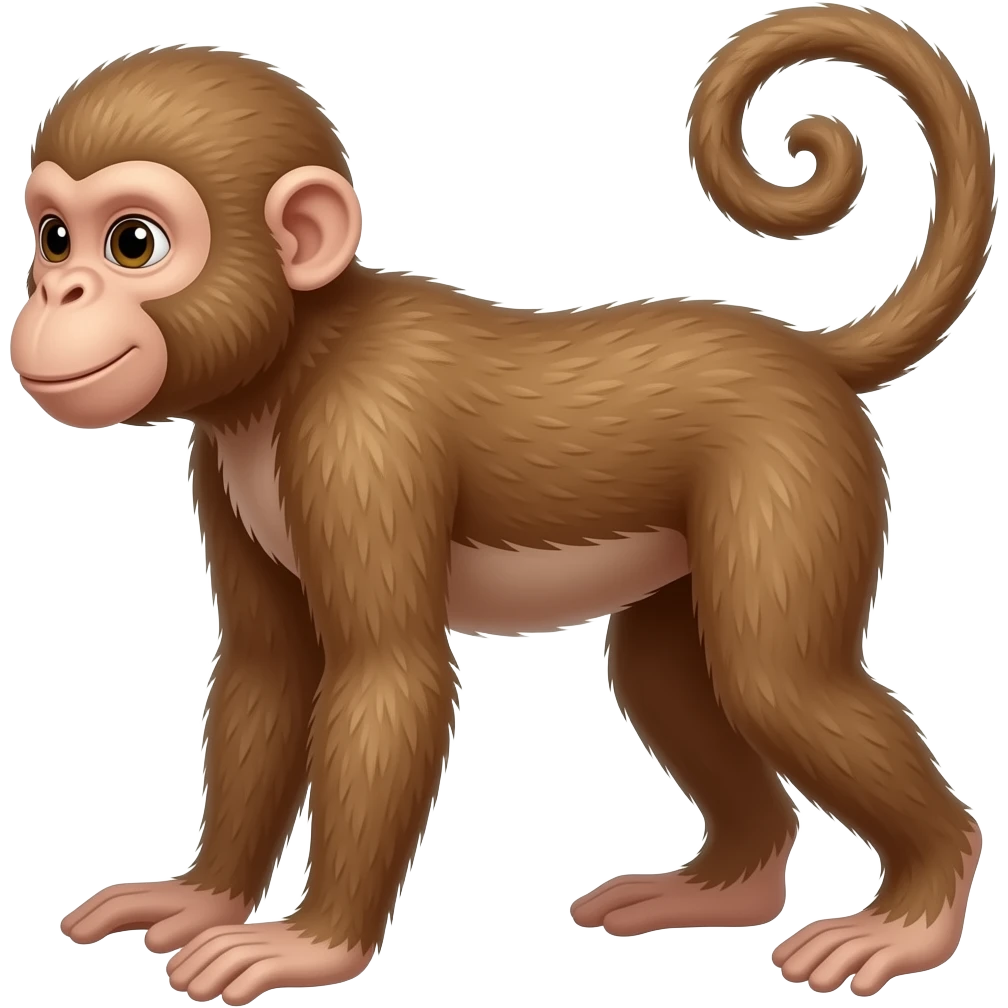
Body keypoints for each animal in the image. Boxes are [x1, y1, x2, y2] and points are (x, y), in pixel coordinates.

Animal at [17, 4, 993, 1004]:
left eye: (133, 243)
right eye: (54, 237)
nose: (57, 291)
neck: (295, 355)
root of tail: (805, 353)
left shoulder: (364, 438)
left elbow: (388, 673)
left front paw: (314, 945)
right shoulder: (220, 460)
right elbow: (268, 666)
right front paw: (201, 897)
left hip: (793, 466)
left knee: (775, 679)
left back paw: (916, 909)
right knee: (666, 674)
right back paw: (727, 885)